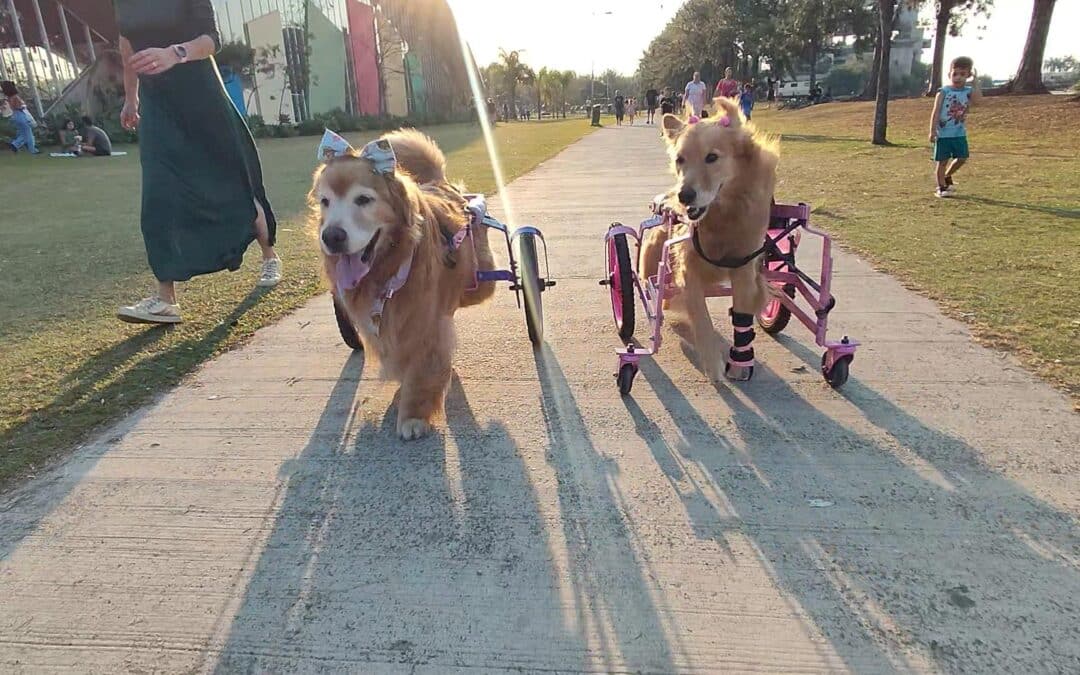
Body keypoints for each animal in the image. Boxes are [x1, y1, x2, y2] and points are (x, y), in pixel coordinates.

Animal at [311, 129, 494, 440]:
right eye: (325, 201)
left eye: (363, 199)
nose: (331, 236)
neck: (388, 268)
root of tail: (438, 182)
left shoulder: (423, 324)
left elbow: (421, 367)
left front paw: (414, 415)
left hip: (480, 279)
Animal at [635, 98, 781, 384]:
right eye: (680, 159)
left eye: (712, 157)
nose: (684, 195)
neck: (722, 216)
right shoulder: (687, 271)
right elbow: (702, 319)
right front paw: (713, 365)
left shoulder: (743, 269)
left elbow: (742, 318)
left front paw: (740, 363)